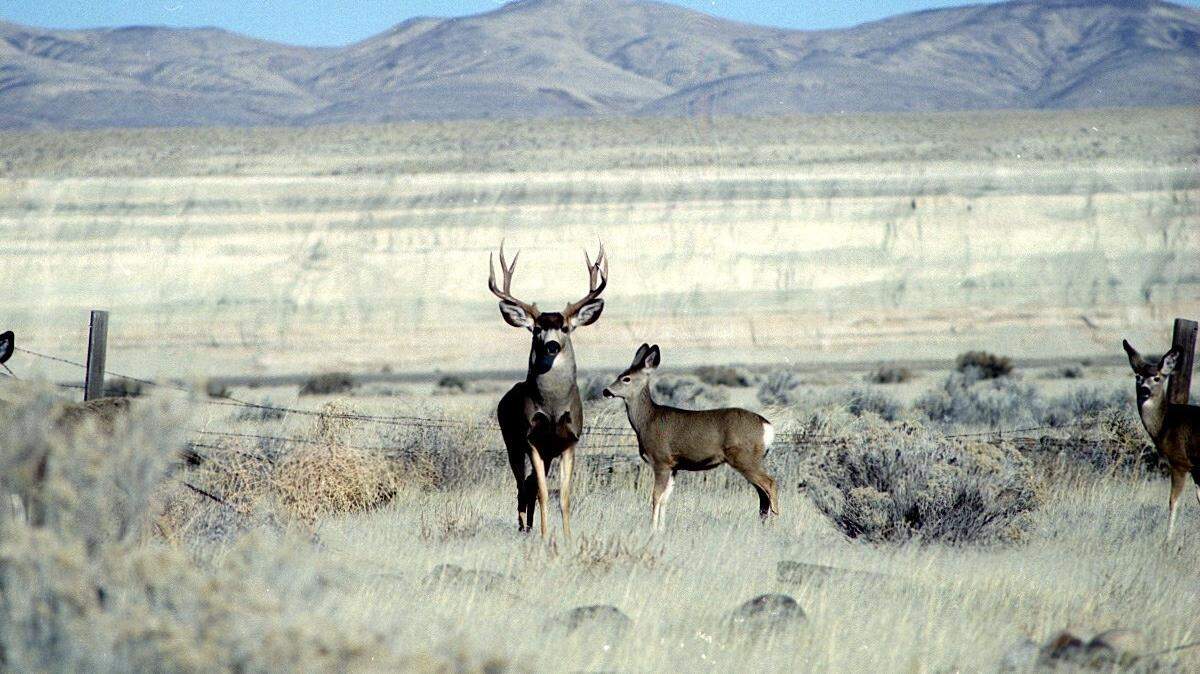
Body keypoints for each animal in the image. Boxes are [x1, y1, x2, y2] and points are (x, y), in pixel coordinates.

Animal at [490, 241, 608, 538]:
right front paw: (545, 536)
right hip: (511, 441)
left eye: (565, 327)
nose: (552, 345)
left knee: (528, 485)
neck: (553, 408)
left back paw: (529, 526)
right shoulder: (532, 440)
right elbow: (544, 493)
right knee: (522, 486)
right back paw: (524, 527)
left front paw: (567, 537)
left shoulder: (569, 441)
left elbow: (563, 496)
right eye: (537, 329)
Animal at [602, 344, 778, 529]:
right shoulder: (674, 466)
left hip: (744, 458)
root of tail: (767, 426)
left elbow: (655, 497)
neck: (646, 421)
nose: (606, 391)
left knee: (770, 484)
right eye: (620, 375)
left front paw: (653, 528)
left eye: (626, 378)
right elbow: (665, 499)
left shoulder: (661, 460)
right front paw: (662, 528)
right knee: (762, 494)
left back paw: (775, 525)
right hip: (751, 460)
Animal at [1122, 339, 1200, 541]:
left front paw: (1168, 540)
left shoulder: (1180, 461)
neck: (1165, 424)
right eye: (1138, 376)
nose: (1144, 390)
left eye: (1157, 378)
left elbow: (1173, 501)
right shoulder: (1196, 467)